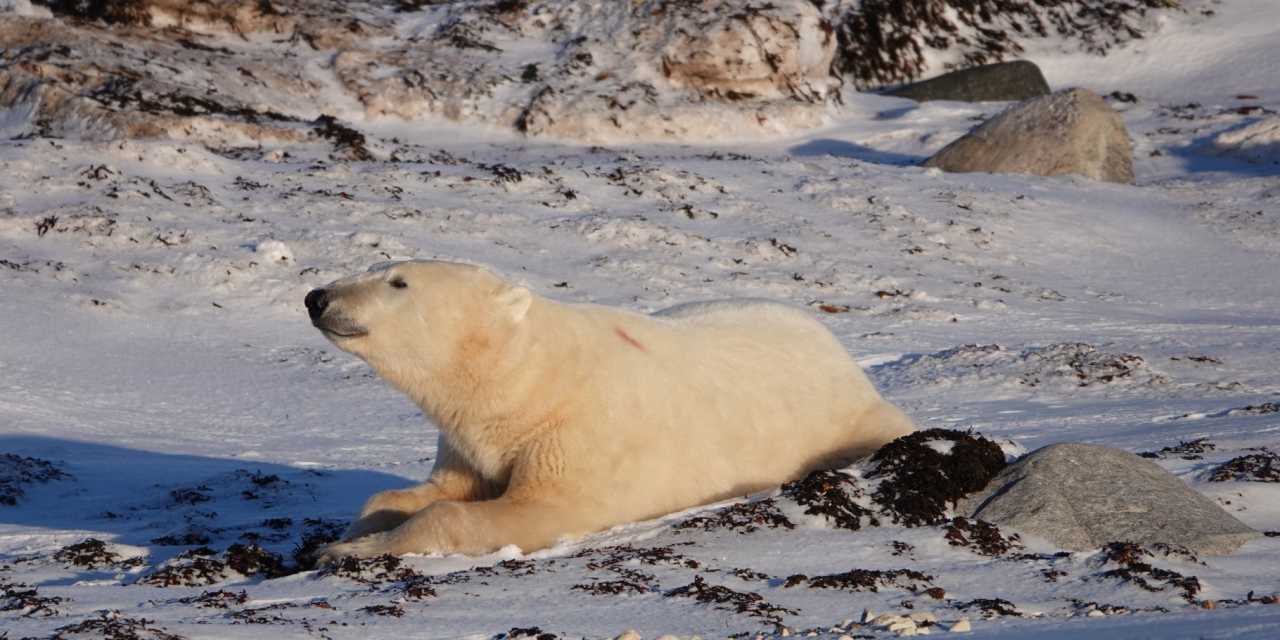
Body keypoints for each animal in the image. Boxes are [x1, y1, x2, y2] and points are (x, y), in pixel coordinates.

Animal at [304, 260, 914, 564]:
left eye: (397, 281)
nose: (317, 297)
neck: (530, 376)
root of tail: (834, 343)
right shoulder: (469, 438)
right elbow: (425, 491)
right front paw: (350, 534)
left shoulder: (576, 433)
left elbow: (526, 509)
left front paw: (347, 550)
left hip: (843, 417)